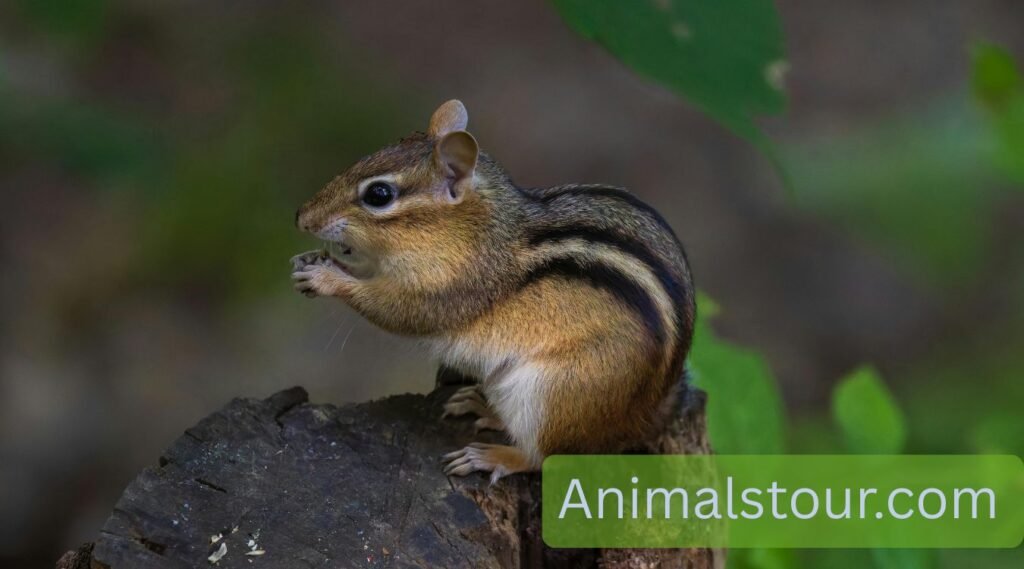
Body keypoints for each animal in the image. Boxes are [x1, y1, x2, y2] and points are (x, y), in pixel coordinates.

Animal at [292, 100, 695, 484]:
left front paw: (326, 278)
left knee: (543, 459)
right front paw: (311, 261)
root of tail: (636, 420)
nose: (301, 217)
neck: (473, 230)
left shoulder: (453, 288)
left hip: (552, 394)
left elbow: (400, 312)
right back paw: (480, 405)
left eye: (379, 194)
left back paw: (490, 457)